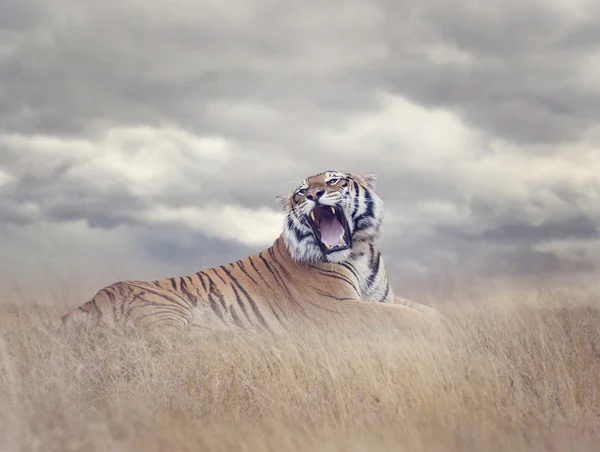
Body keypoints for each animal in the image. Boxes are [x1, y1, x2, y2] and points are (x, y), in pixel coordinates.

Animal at [61, 171, 438, 334]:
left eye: (332, 181)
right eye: (300, 192)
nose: (313, 194)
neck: (359, 252)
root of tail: (92, 299)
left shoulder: (382, 297)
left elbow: (426, 310)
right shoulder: (339, 307)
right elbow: (404, 317)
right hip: (168, 311)